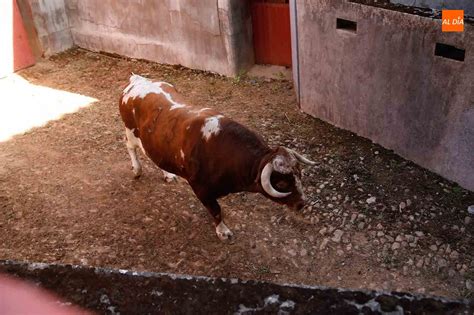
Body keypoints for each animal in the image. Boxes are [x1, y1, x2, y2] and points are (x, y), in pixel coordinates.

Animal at [120, 74, 316, 242]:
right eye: (282, 183)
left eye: (299, 174)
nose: (302, 203)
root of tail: (136, 80)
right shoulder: (200, 189)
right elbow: (216, 211)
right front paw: (223, 231)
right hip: (130, 132)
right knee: (130, 147)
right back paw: (137, 170)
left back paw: (168, 174)